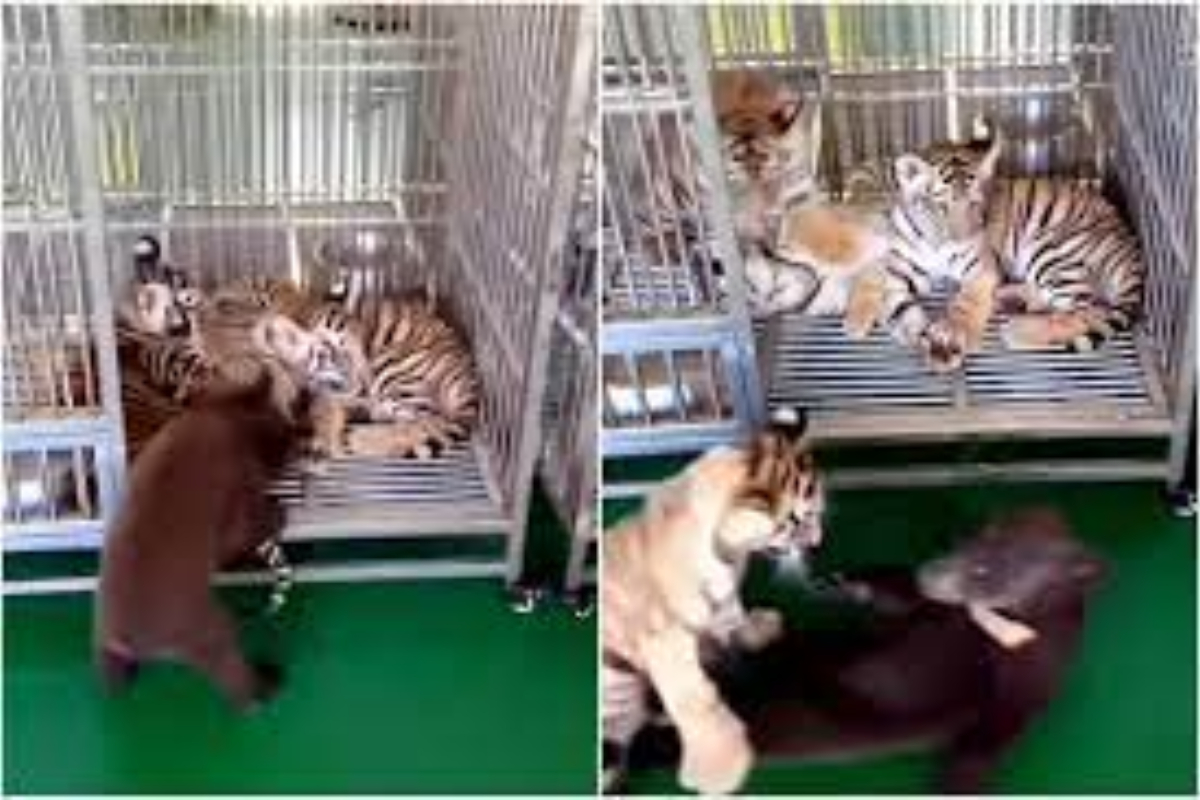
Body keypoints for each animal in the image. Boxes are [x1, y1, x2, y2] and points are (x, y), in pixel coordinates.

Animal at [601, 407, 826, 795]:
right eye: (797, 522)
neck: (730, 553)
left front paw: (758, 628)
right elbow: (695, 697)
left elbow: (733, 615)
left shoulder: (726, 595)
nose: (818, 542)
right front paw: (721, 768)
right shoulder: (663, 637)